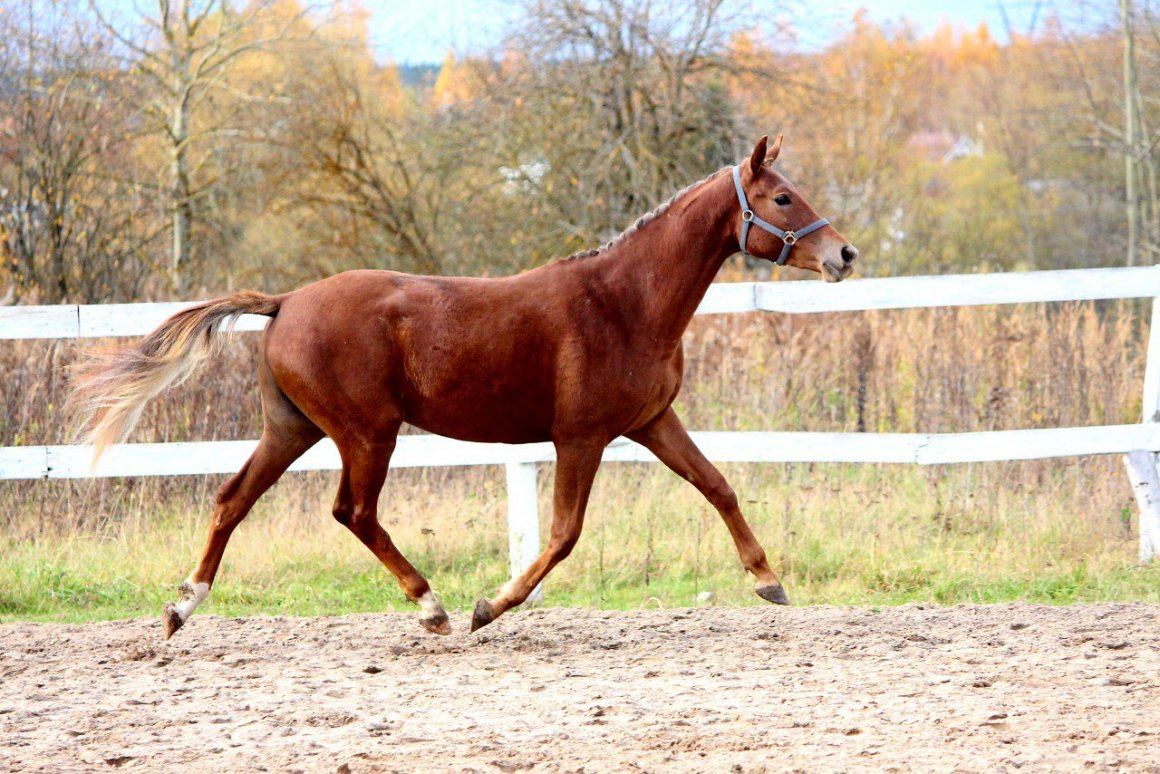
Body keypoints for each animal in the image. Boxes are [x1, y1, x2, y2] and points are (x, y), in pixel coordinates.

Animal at [67, 136, 858, 640]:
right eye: (782, 197)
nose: (844, 254)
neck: (624, 301)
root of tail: (286, 302)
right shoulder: (580, 438)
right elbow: (563, 536)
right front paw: (490, 607)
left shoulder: (652, 422)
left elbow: (718, 486)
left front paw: (769, 581)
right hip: (367, 432)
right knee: (354, 512)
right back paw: (434, 608)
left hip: (292, 428)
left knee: (233, 499)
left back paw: (180, 610)